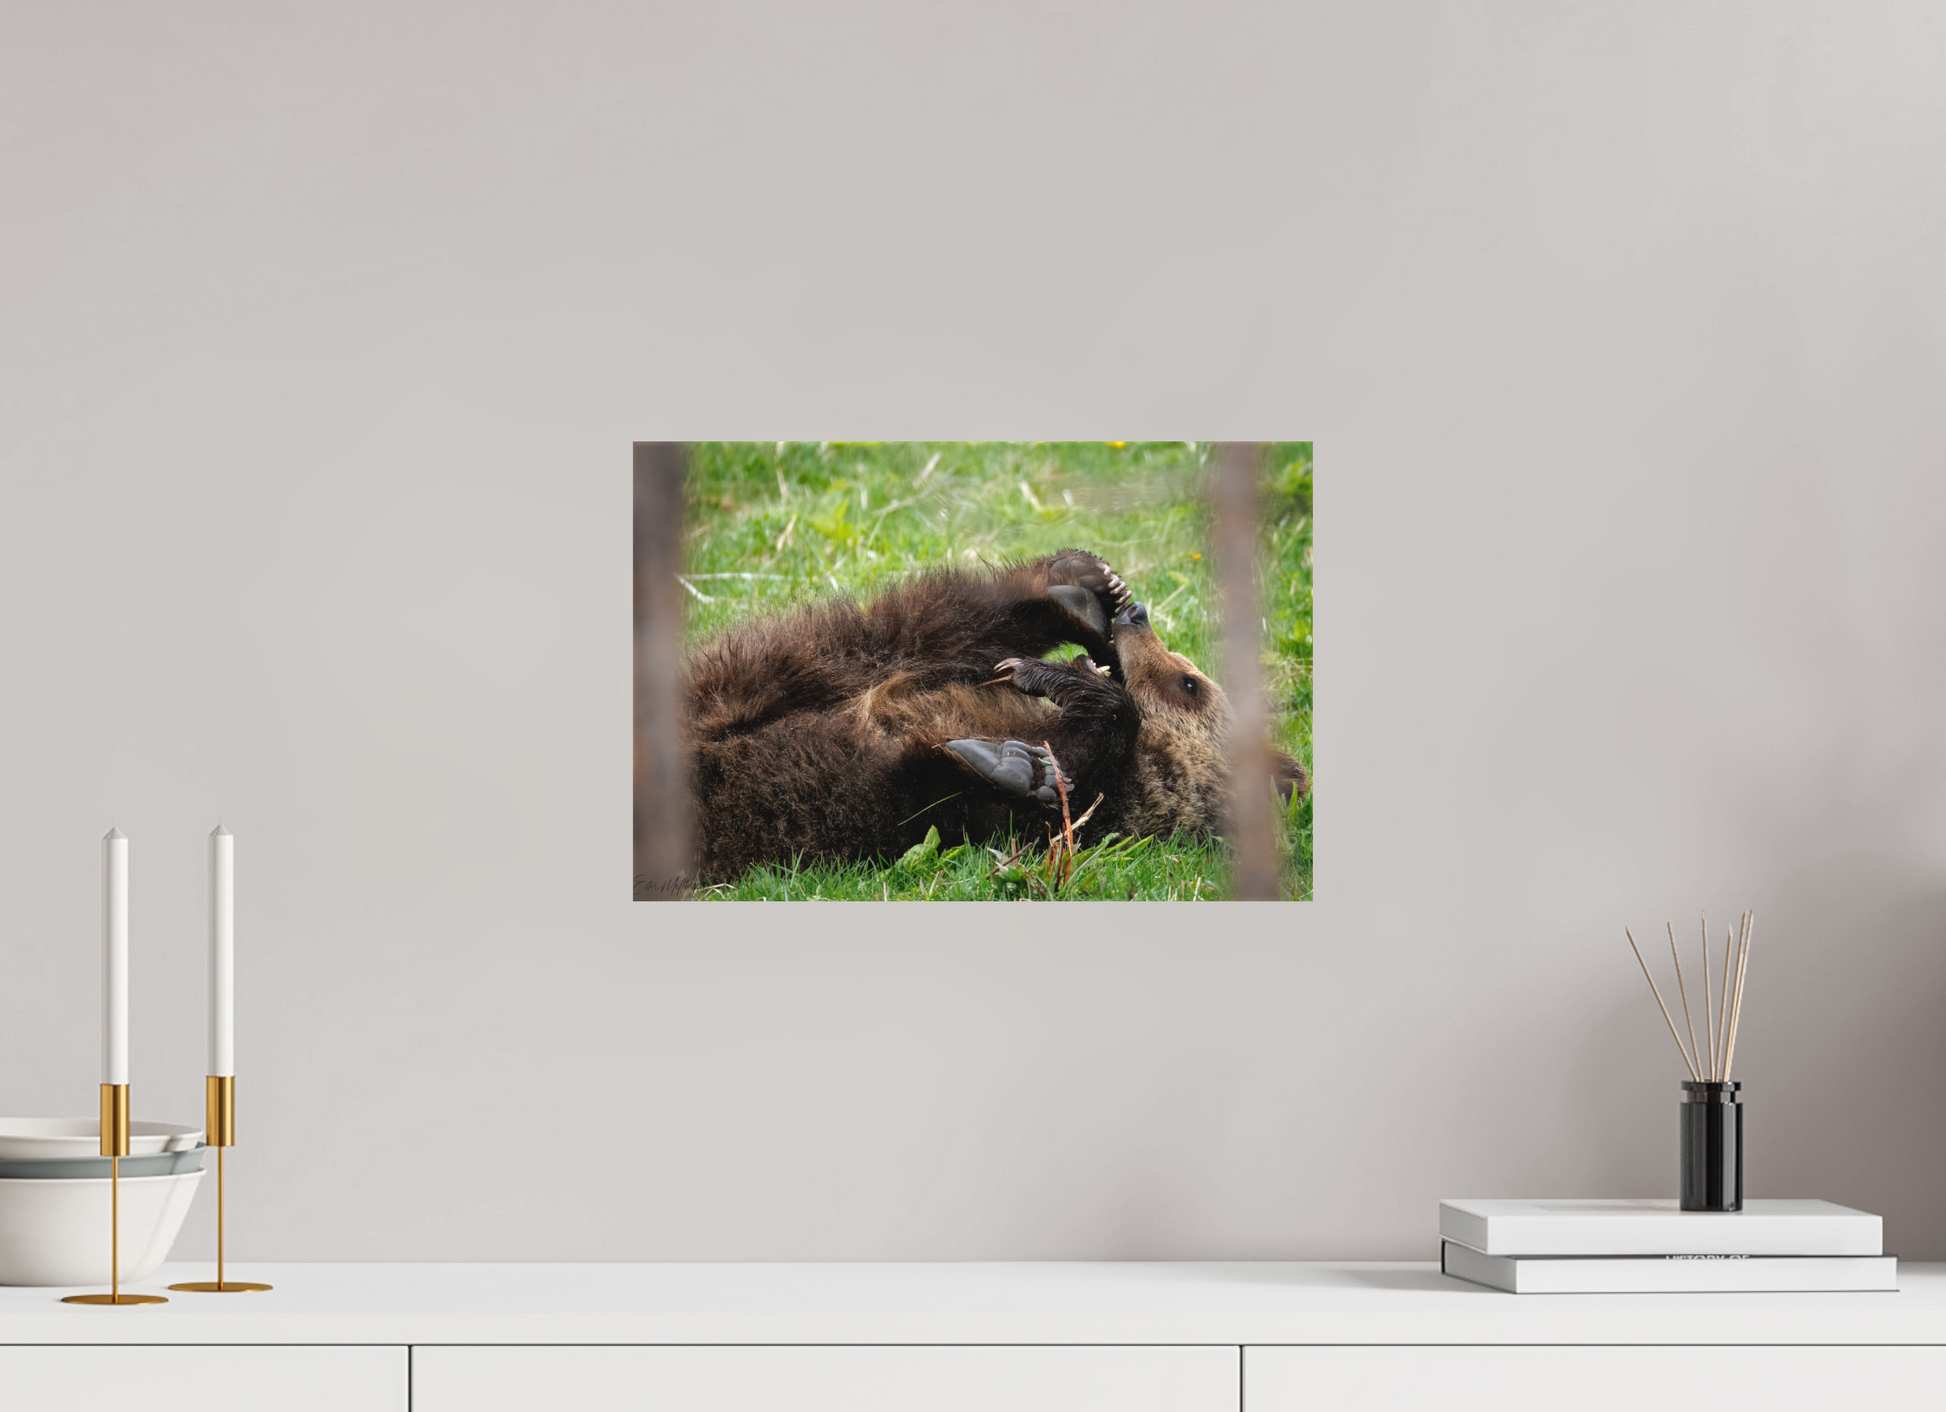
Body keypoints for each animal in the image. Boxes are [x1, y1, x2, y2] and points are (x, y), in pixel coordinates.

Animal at [680, 548, 1309, 882]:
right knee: (902, 631)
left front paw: (1019, 761)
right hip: (761, 674)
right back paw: (1075, 588)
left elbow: (942, 790)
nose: (1137, 616)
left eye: (1189, 684)